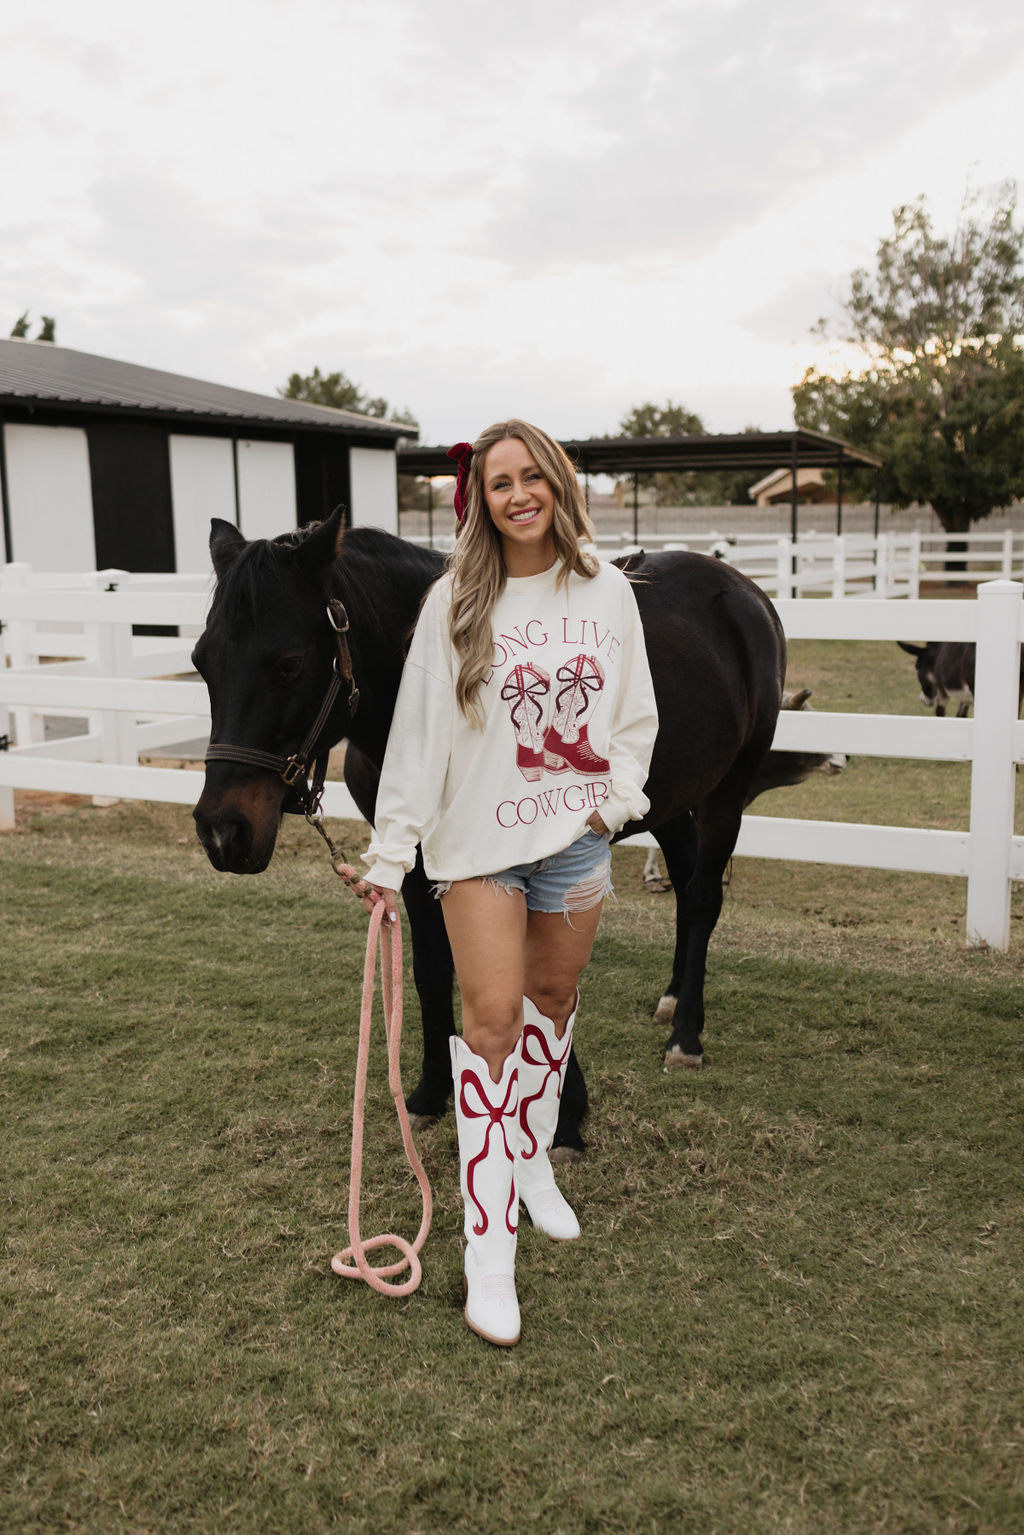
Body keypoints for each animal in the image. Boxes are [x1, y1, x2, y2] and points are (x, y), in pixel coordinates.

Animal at [190, 512, 786, 1154]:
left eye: (289, 662)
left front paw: (564, 1116)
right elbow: (431, 967)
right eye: (201, 661)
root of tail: (744, 592)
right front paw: (429, 1094)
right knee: (684, 879)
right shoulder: (422, 862)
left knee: (701, 897)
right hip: (669, 801)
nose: (223, 831)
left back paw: (686, 1036)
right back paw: (673, 998)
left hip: (730, 788)